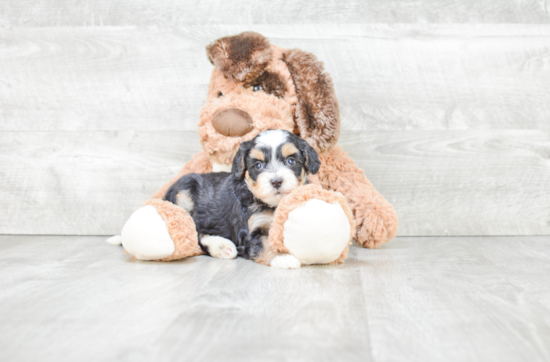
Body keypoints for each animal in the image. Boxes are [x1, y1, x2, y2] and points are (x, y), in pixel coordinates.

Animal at [164, 129, 322, 262]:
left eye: (291, 161)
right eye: (258, 165)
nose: (276, 181)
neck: (270, 204)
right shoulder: (251, 229)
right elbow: (265, 244)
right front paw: (282, 258)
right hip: (183, 194)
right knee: (191, 231)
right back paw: (221, 246)